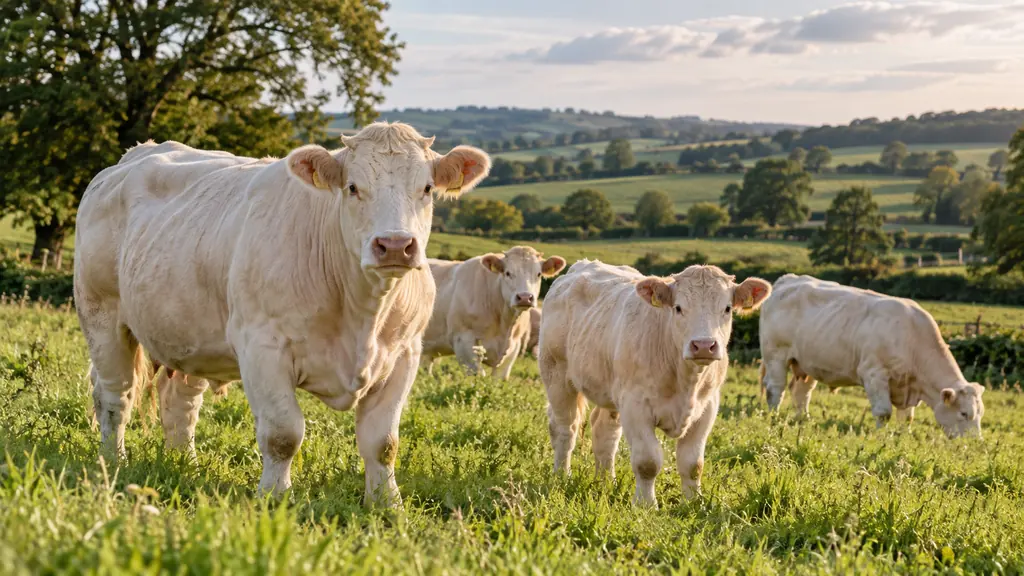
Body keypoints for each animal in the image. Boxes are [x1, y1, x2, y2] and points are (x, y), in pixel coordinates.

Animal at [74, 122, 490, 504]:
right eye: (353, 187)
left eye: (427, 189)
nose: (394, 245)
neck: (362, 314)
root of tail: (134, 155)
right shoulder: (262, 348)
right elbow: (282, 434)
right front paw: (275, 496)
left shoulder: (404, 354)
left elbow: (383, 442)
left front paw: (387, 504)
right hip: (102, 315)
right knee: (115, 398)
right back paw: (113, 461)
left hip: (190, 333)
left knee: (180, 402)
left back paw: (185, 464)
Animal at [422, 246, 565, 379]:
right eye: (507, 273)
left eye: (539, 274)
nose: (525, 297)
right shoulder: (463, 341)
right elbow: (477, 376)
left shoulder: (514, 348)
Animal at [539, 260, 771, 507]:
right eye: (678, 308)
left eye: (727, 308)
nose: (703, 345)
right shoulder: (635, 407)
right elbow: (647, 462)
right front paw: (646, 505)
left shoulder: (707, 407)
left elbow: (693, 464)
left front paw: (693, 502)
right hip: (557, 376)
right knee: (565, 429)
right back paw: (562, 476)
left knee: (604, 432)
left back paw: (605, 482)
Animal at [758, 274, 984, 438]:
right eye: (964, 413)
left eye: (980, 413)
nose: (975, 443)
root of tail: (788, 280)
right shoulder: (874, 373)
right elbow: (883, 412)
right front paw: (881, 437)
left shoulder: (907, 386)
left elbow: (907, 417)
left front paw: (902, 437)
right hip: (775, 355)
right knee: (775, 389)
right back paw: (774, 417)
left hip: (807, 362)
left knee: (801, 392)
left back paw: (803, 420)